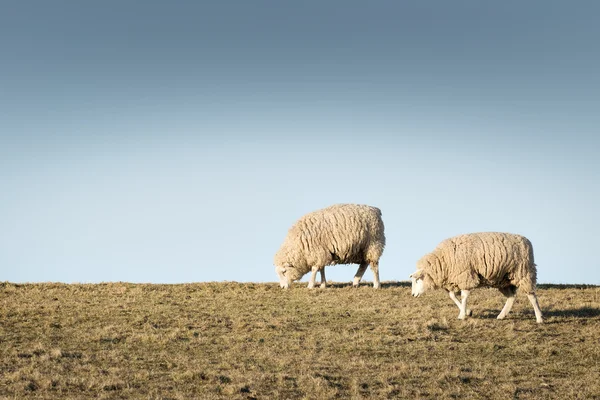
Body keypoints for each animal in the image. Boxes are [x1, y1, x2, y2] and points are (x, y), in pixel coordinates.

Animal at [408, 233, 544, 324]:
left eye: (417, 280)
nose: (413, 295)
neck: (443, 260)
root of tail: (527, 241)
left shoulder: (466, 275)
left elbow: (464, 296)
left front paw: (462, 315)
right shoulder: (454, 279)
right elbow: (452, 296)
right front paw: (467, 312)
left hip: (524, 273)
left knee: (532, 296)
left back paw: (539, 318)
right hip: (504, 279)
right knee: (511, 297)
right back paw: (501, 315)